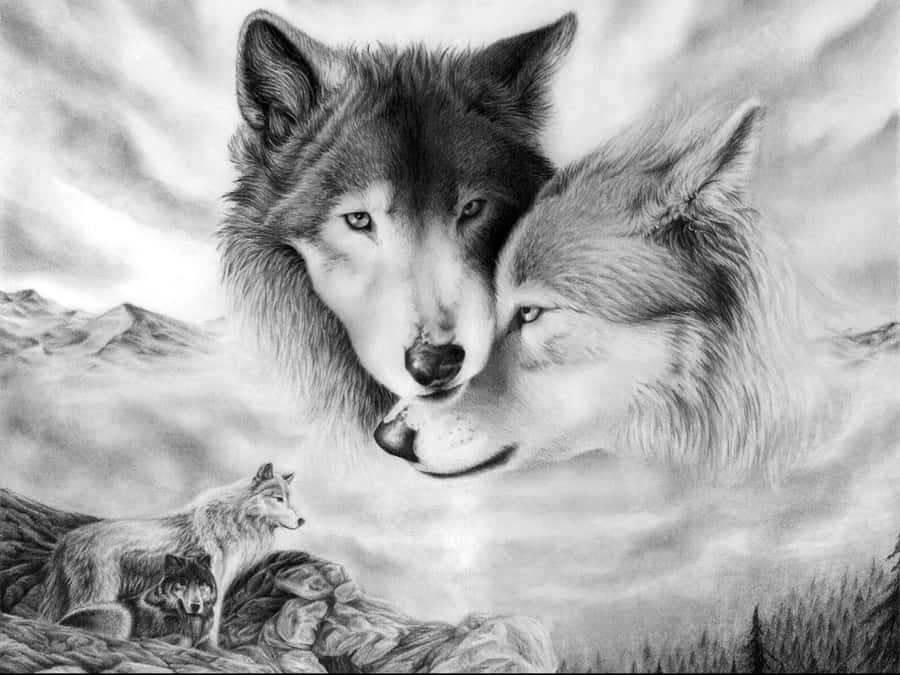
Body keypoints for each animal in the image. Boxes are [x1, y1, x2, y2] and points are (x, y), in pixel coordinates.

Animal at [59, 553, 217, 647]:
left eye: (201, 583)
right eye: (182, 583)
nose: (195, 606)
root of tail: (60, 622)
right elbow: (183, 639)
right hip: (123, 613)